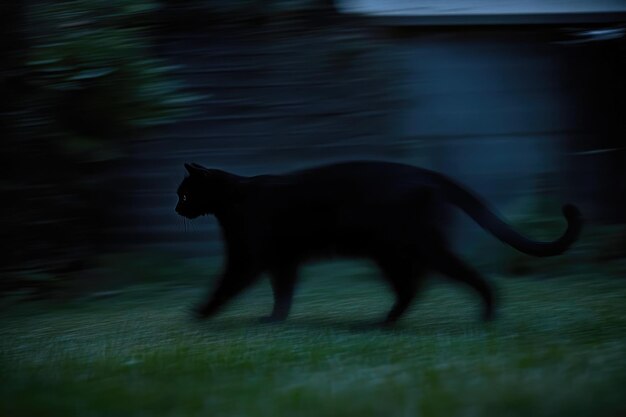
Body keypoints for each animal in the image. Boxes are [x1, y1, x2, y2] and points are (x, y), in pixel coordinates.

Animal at [176, 159, 580, 322]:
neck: (232, 200)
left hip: (399, 248)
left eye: (183, 193)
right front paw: (275, 320)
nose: (175, 208)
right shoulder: (282, 260)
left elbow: (226, 285)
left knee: (430, 282)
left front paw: (199, 313)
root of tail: (428, 174)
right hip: (402, 249)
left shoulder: (247, 256)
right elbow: (283, 292)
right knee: (421, 283)